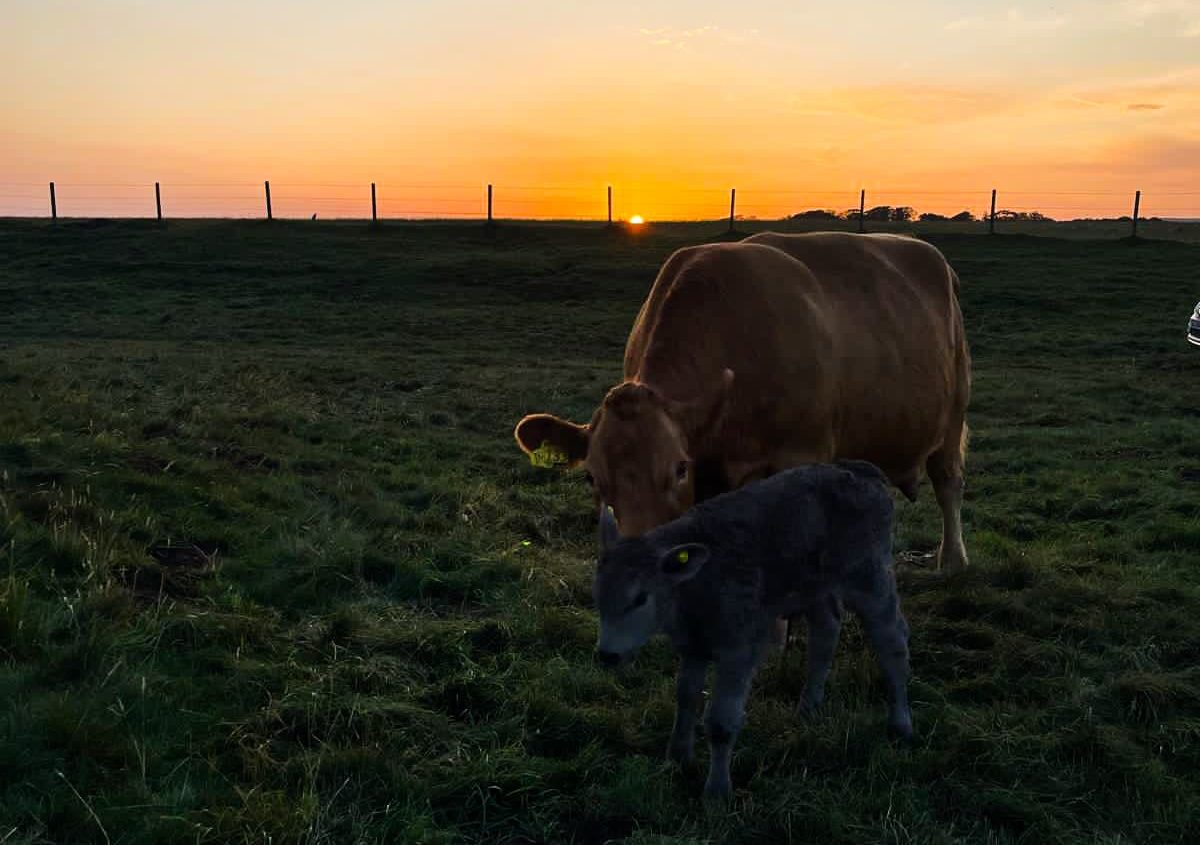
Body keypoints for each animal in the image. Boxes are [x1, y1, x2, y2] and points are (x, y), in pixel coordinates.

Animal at [514, 230, 970, 571]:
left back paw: (952, 560)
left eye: (678, 469)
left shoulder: (798, 459)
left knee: (948, 481)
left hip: (953, 414)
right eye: (592, 478)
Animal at [592, 460, 913, 800]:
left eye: (640, 598)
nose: (607, 655)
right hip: (813, 588)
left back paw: (901, 725)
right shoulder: (693, 646)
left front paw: (717, 790)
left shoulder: (739, 649)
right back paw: (808, 706)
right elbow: (686, 698)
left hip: (870, 578)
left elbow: (721, 721)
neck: (695, 585)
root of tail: (866, 472)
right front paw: (677, 757)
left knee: (893, 640)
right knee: (827, 629)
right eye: (597, 594)